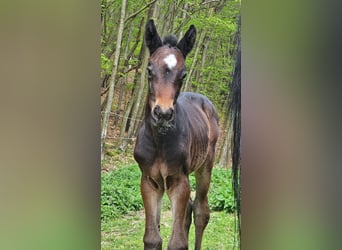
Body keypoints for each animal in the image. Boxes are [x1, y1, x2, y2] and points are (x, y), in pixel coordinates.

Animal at [134, 20, 219, 250]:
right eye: (149, 70)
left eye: (183, 74)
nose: (163, 114)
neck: (159, 142)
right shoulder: (149, 181)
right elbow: (152, 238)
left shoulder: (179, 180)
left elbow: (177, 242)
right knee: (189, 211)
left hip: (205, 167)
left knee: (200, 211)